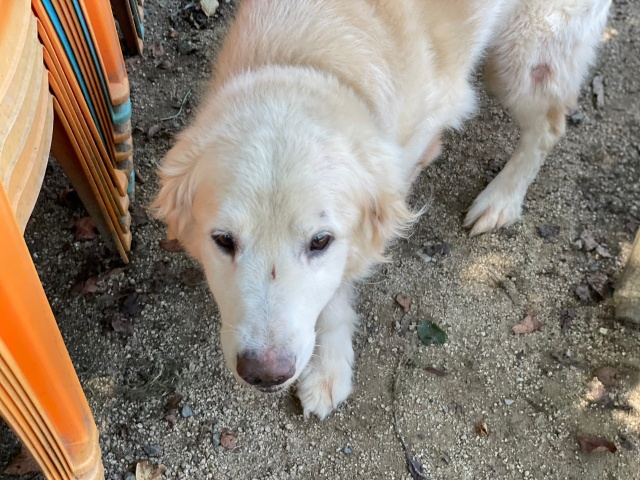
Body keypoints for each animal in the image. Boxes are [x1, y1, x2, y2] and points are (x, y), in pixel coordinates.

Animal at [152, 0, 610, 419]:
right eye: (222, 240)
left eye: (321, 241)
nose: (265, 374)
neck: (302, 61)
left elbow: (338, 288)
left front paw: (329, 368)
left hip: (523, 60)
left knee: (548, 126)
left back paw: (501, 199)